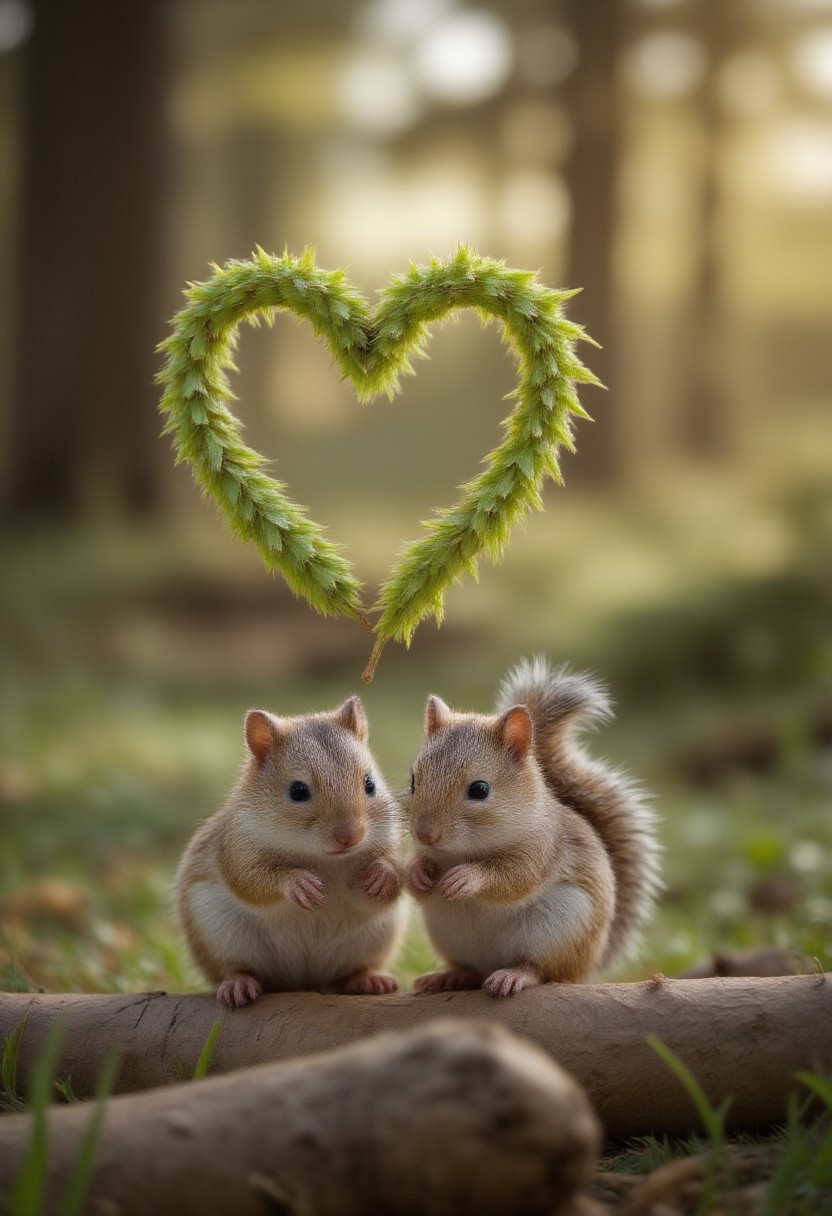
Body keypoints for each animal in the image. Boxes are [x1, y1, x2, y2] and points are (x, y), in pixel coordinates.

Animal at [176, 696, 406, 1007]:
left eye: (370, 783)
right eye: (297, 791)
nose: (351, 836)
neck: (325, 860)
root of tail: (305, 981)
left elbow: (390, 881)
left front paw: (383, 874)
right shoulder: (236, 845)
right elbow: (249, 880)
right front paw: (298, 883)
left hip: (376, 937)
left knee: (352, 971)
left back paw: (369, 979)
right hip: (220, 933)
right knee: (236, 967)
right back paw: (238, 984)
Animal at [405, 656, 661, 998]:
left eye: (480, 790)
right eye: (413, 781)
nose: (424, 833)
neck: (462, 851)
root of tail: (586, 967)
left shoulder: (544, 848)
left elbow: (516, 878)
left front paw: (468, 878)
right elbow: (415, 883)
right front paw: (418, 872)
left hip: (560, 931)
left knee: (543, 970)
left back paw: (515, 975)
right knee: (468, 969)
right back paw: (449, 977)